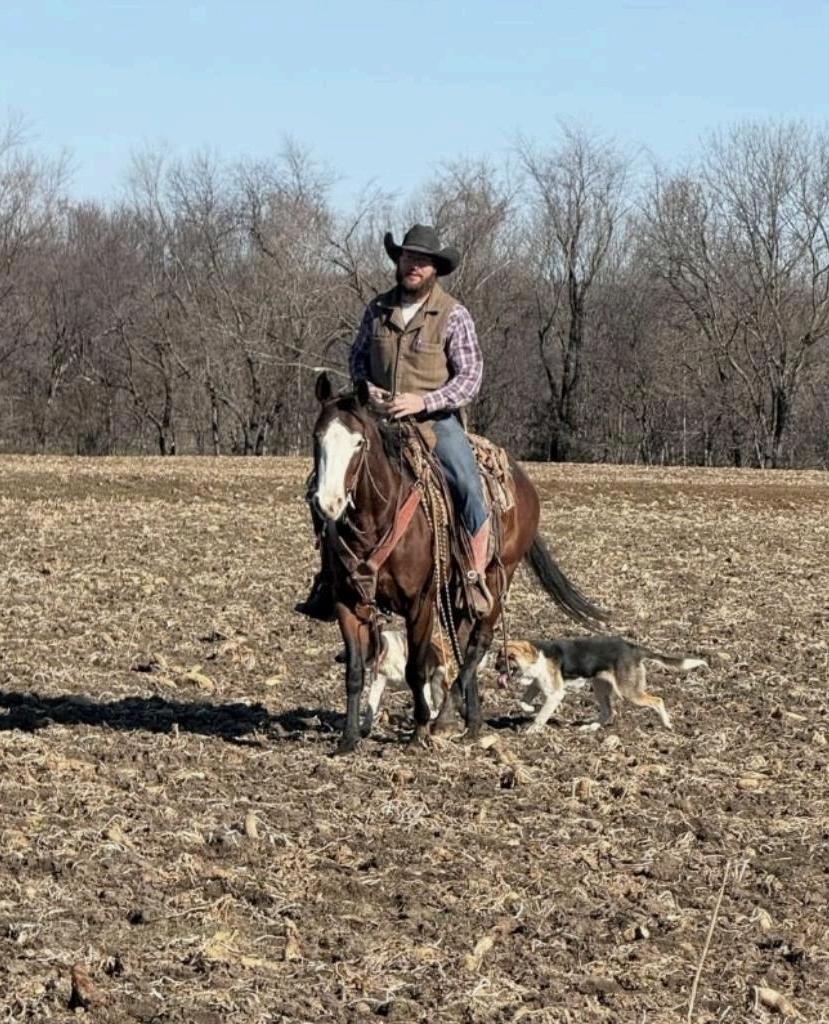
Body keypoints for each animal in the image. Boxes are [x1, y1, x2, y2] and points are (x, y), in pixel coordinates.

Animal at [310, 372, 608, 754]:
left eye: (359, 442)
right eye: (318, 437)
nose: (328, 503)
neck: (378, 518)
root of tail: (521, 480)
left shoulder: (420, 602)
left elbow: (416, 669)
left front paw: (420, 732)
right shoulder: (346, 602)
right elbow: (355, 671)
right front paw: (348, 739)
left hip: (497, 577)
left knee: (477, 643)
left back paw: (447, 717)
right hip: (458, 589)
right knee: (462, 640)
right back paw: (471, 719)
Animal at [495, 636, 707, 733]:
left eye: (511, 657)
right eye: (498, 655)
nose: (496, 666)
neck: (537, 657)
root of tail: (634, 649)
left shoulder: (555, 693)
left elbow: (541, 715)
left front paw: (532, 728)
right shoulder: (538, 684)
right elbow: (523, 700)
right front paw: (529, 708)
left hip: (629, 692)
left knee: (657, 701)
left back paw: (666, 724)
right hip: (600, 687)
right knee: (608, 712)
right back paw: (591, 727)